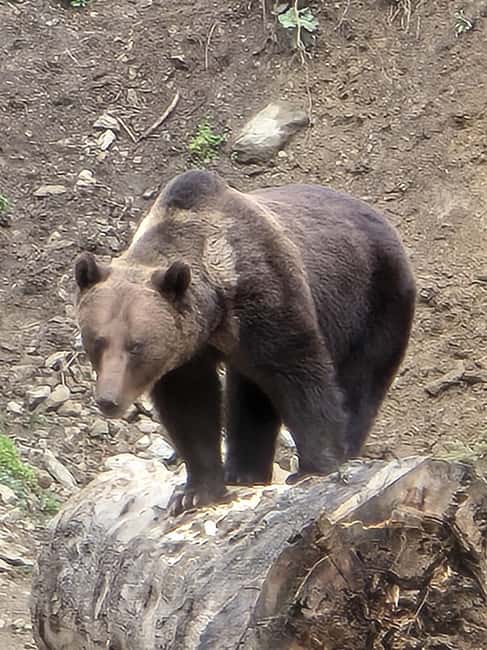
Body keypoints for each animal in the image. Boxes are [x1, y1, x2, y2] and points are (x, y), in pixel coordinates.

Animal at [74, 169, 416, 514]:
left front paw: (318, 465)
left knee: (361, 381)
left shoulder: (267, 298)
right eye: (97, 341)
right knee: (251, 392)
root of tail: (381, 217)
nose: (109, 400)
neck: (217, 310)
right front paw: (195, 492)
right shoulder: (189, 350)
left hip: (374, 301)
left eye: (136, 345)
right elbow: (190, 408)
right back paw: (244, 472)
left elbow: (301, 373)